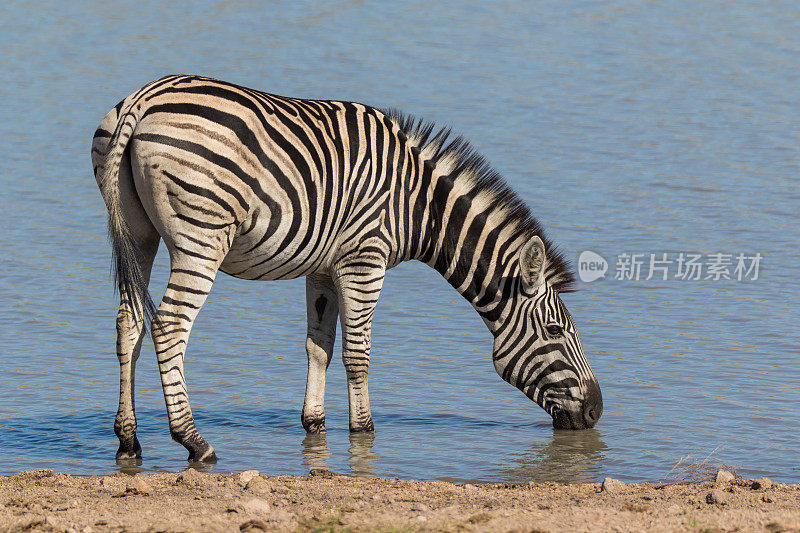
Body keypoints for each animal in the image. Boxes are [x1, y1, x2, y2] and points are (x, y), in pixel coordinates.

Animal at [92, 74, 600, 462]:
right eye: (556, 331)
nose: (597, 411)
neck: (419, 205)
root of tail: (144, 99)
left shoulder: (323, 268)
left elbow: (319, 346)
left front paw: (314, 424)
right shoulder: (364, 260)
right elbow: (358, 354)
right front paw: (364, 429)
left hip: (138, 233)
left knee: (129, 323)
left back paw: (129, 440)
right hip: (201, 239)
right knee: (170, 327)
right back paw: (194, 441)